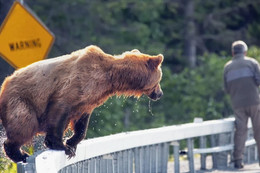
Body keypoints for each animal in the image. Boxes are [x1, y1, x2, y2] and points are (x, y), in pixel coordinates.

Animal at [0, 45, 162, 163]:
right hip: (21, 100)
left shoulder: (88, 101)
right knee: (24, 124)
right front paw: (62, 146)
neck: (110, 78)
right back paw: (21, 154)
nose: (160, 94)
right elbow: (60, 110)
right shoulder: (75, 85)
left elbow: (81, 123)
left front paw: (71, 143)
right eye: (159, 79)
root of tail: (4, 86)